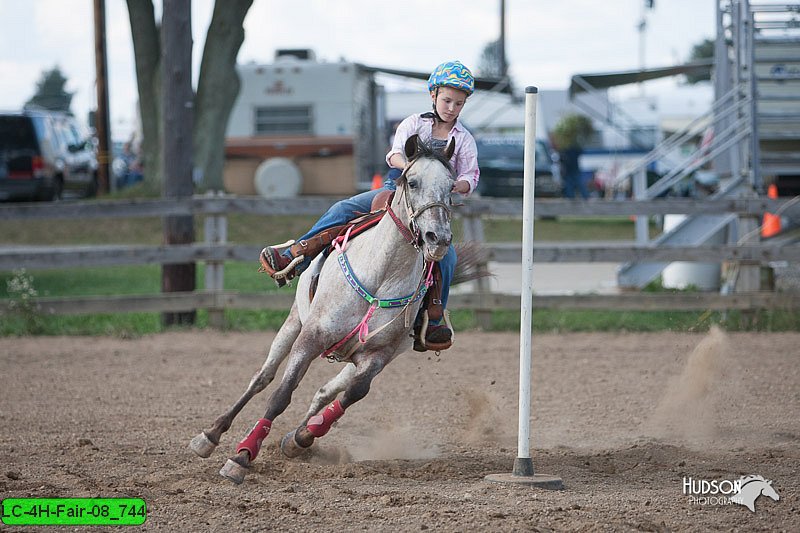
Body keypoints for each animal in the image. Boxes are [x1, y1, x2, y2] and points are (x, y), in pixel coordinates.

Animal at [190, 134, 460, 482]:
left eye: (452, 186)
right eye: (412, 182)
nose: (437, 238)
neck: (381, 274)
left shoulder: (379, 355)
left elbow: (353, 394)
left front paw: (301, 437)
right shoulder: (311, 336)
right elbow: (281, 395)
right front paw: (242, 455)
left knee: (326, 391)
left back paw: (297, 438)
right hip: (294, 320)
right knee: (263, 377)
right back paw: (210, 436)